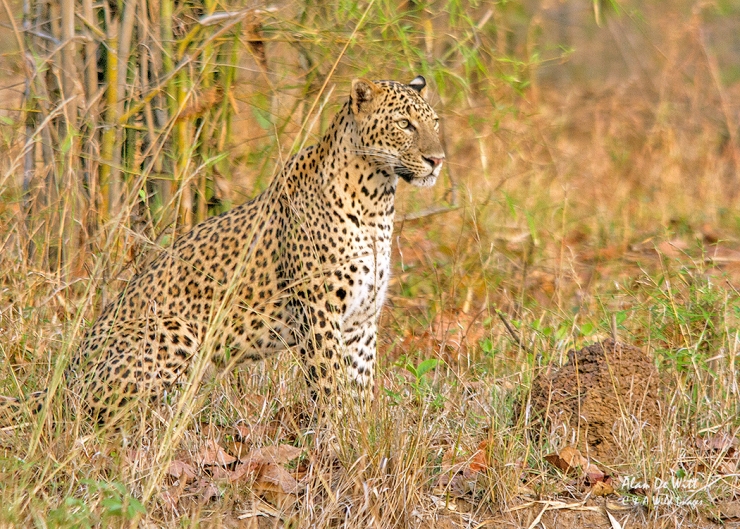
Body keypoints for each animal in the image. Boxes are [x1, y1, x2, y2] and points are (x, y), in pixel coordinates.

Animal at [0, 75, 445, 425]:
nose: (437, 160)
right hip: (173, 331)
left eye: (434, 123)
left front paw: (362, 438)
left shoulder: (361, 321)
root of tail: (65, 378)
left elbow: (360, 388)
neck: (377, 201)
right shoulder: (319, 315)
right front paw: (337, 442)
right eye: (404, 125)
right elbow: (332, 386)